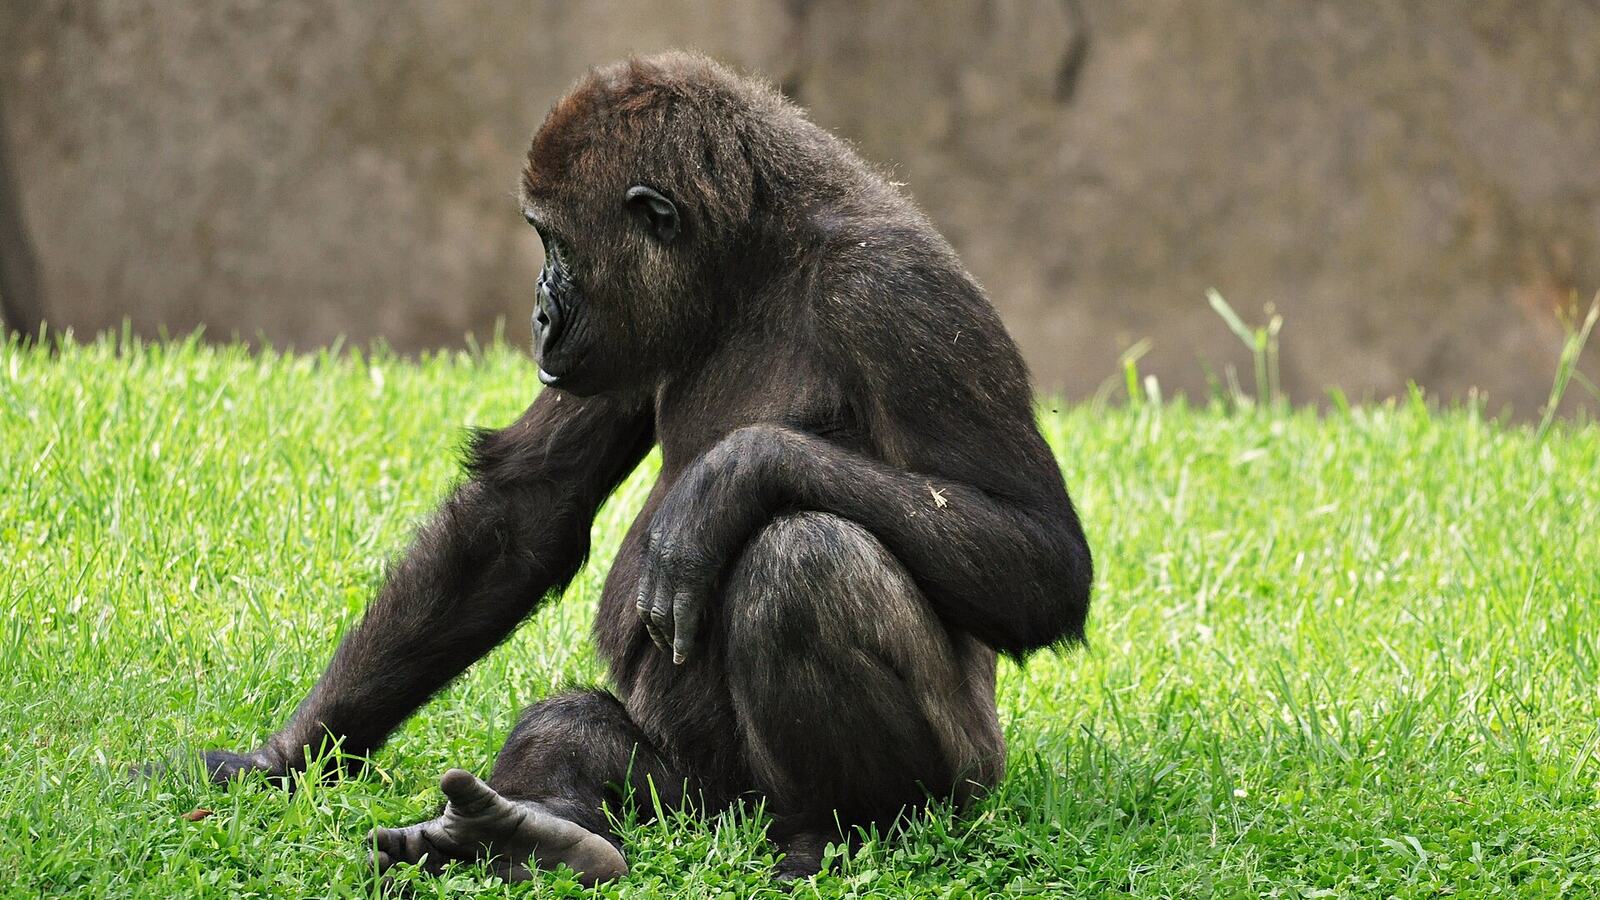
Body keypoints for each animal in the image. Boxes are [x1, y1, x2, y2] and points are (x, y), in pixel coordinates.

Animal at [187, 52, 1093, 885]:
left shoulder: (896, 291)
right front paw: (282, 760)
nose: (538, 310)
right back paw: (530, 831)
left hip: (958, 786)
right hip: (695, 803)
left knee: (805, 561)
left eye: (553, 242)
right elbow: (523, 509)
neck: (754, 255)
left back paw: (838, 834)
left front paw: (729, 478)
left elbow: (1041, 556)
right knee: (574, 730)